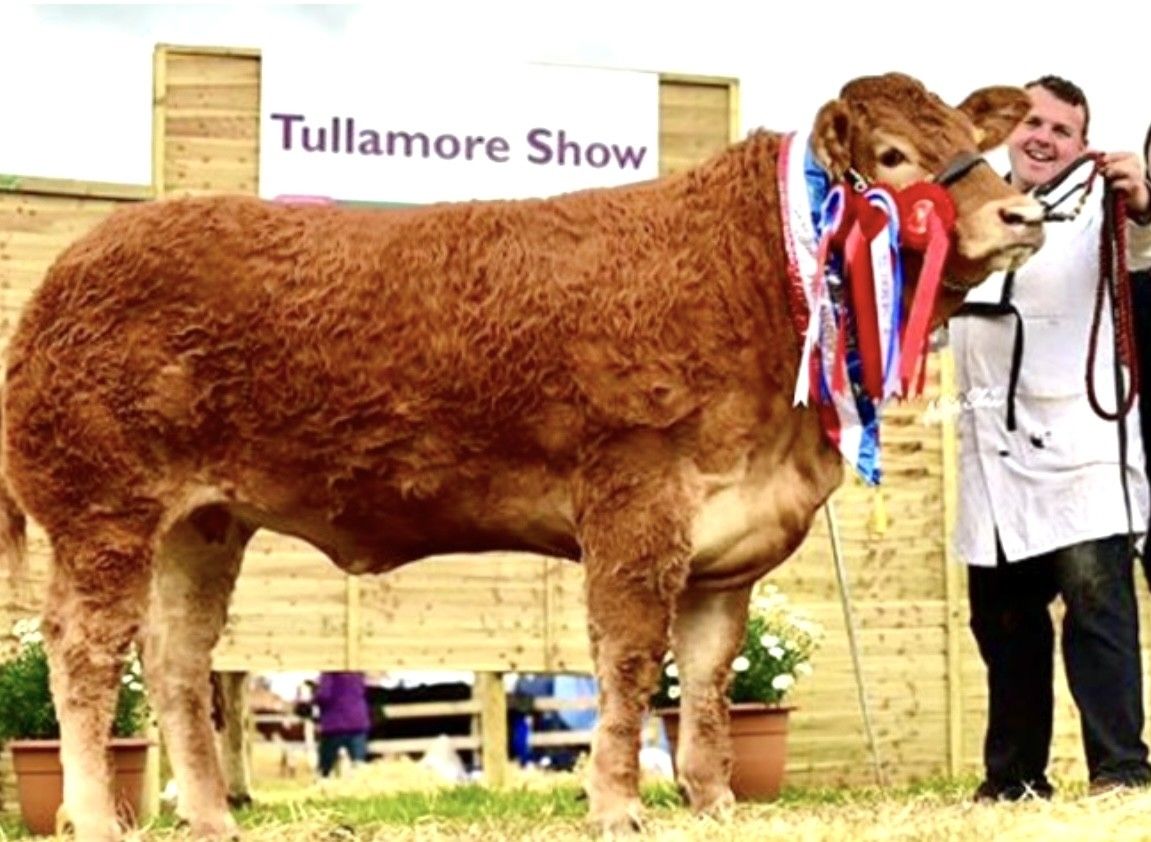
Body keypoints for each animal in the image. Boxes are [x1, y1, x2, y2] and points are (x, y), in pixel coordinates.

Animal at [0, 72, 1044, 840]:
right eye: (893, 157)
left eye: (975, 142)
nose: (1023, 215)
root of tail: (69, 272)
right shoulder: (633, 498)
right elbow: (630, 661)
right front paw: (618, 805)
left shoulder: (726, 544)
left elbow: (707, 678)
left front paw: (713, 800)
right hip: (104, 511)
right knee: (87, 651)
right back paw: (96, 817)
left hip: (203, 524)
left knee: (176, 657)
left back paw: (212, 819)